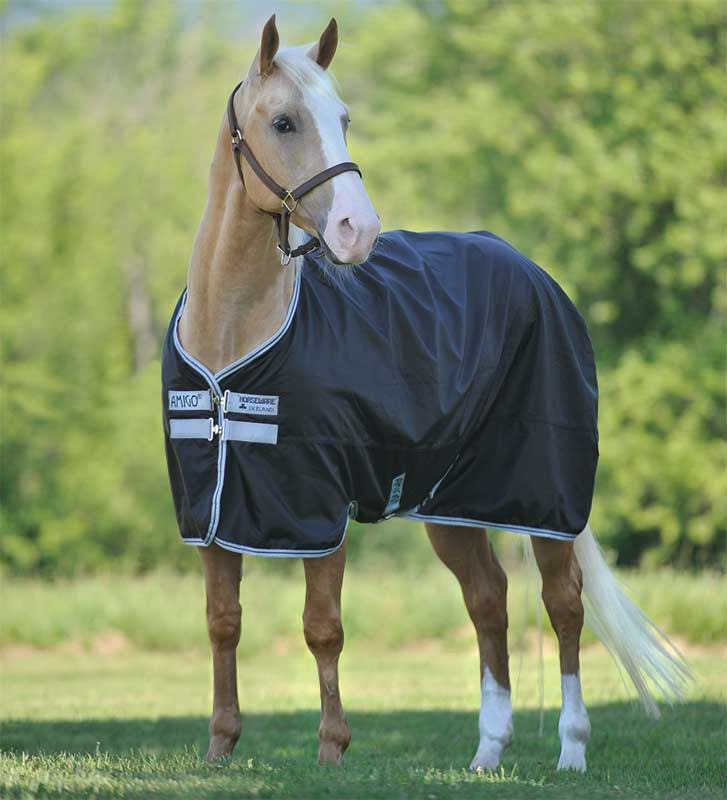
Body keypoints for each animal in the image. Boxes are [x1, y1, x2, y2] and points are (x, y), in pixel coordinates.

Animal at [164, 15, 690, 772]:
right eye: (284, 121)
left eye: (344, 118)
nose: (359, 230)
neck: (233, 340)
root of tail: (536, 274)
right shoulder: (212, 512)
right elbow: (222, 622)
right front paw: (220, 745)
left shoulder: (320, 510)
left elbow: (322, 627)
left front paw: (332, 749)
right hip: (452, 502)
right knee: (488, 599)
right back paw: (487, 752)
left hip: (544, 495)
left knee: (563, 604)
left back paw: (571, 749)